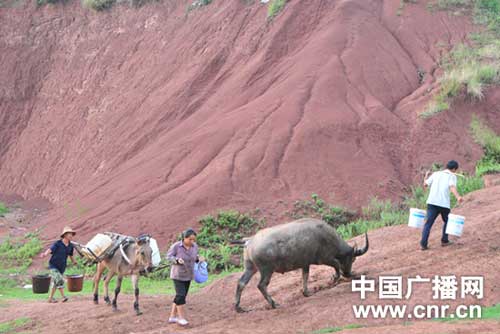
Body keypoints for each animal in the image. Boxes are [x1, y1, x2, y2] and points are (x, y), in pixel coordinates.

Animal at [233, 218, 368, 312]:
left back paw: (239, 308)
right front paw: (334, 279)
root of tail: (249, 240)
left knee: (241, 283)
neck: (327, 236)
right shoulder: (325, 259)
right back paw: (273, 304)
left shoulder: (305, 264)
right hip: (267, 270)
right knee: (261, 285)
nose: (349, 274)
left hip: (251, 267)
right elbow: (337, 265)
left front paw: (306, 292)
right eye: (353, 259)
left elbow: (305, 276)